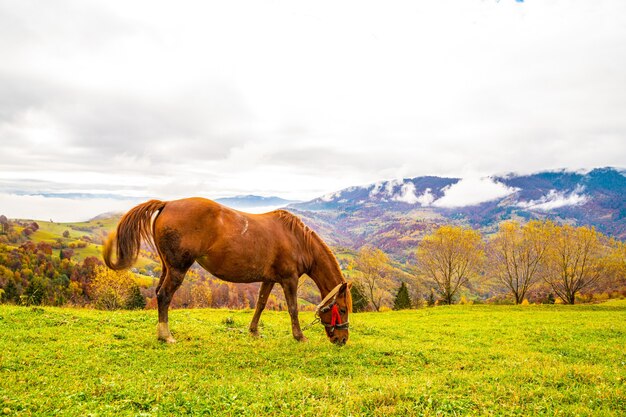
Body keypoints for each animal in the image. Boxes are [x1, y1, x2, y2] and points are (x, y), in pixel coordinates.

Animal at [100, 197, 348, 344]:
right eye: (343, 310)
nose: (343, 339)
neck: (296, 239)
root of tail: (168, 203)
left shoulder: (269, 279)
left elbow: (260, 304)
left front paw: (253, 331)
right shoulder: (289, 279)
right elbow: (293, 308)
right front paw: (299, 336)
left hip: (166, 267)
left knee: (158, 292)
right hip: (178, 269)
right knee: (164, 296)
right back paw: (165, 335)